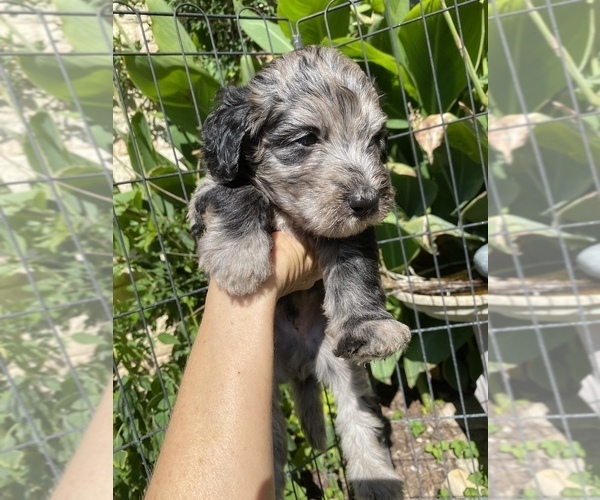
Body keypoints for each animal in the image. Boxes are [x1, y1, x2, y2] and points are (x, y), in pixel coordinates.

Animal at [190, 45, 410, 498]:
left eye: (374, 140)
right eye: (307, 138)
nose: (367, 199)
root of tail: (298, 367)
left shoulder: (351, 233)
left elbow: (354, 268)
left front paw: (369, 325)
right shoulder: (207, 188)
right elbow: (238, 191)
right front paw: (239, 258)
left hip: (340, 365)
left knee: (359, 420)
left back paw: (377, 481)